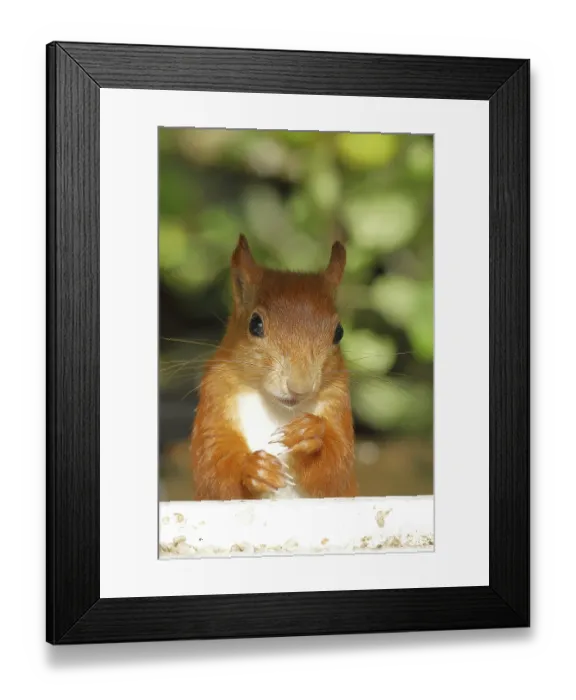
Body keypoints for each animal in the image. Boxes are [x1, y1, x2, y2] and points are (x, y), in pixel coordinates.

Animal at [190, 234, 358, 501]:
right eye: (255, 324)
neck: (276, 407)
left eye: (339, 332)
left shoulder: (338, 401)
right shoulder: (215, 396)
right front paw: (254, 469)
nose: (299, 386)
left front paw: (311, 433)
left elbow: (336, 470)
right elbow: (213, 468)